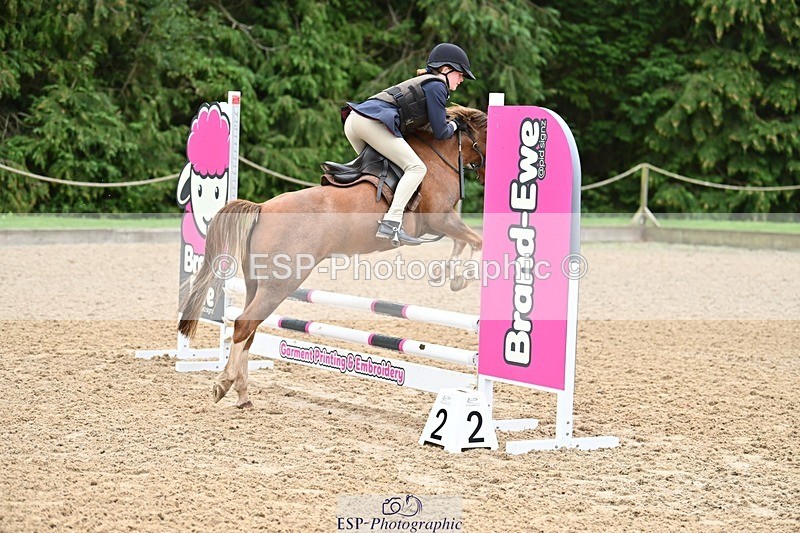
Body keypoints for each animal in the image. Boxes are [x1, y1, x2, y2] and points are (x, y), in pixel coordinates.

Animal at [177, 105, 487, 408]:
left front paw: (448, 275)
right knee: (244, 324)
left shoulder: (442, 223)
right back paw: (225, 383)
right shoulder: (440, 219)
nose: (484, 177)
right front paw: (461, 277)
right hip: (280, 284)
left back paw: (243, 395)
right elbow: (476, 241)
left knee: (248, 328)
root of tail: (263, 208)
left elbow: (463, 242)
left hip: (256, 284)